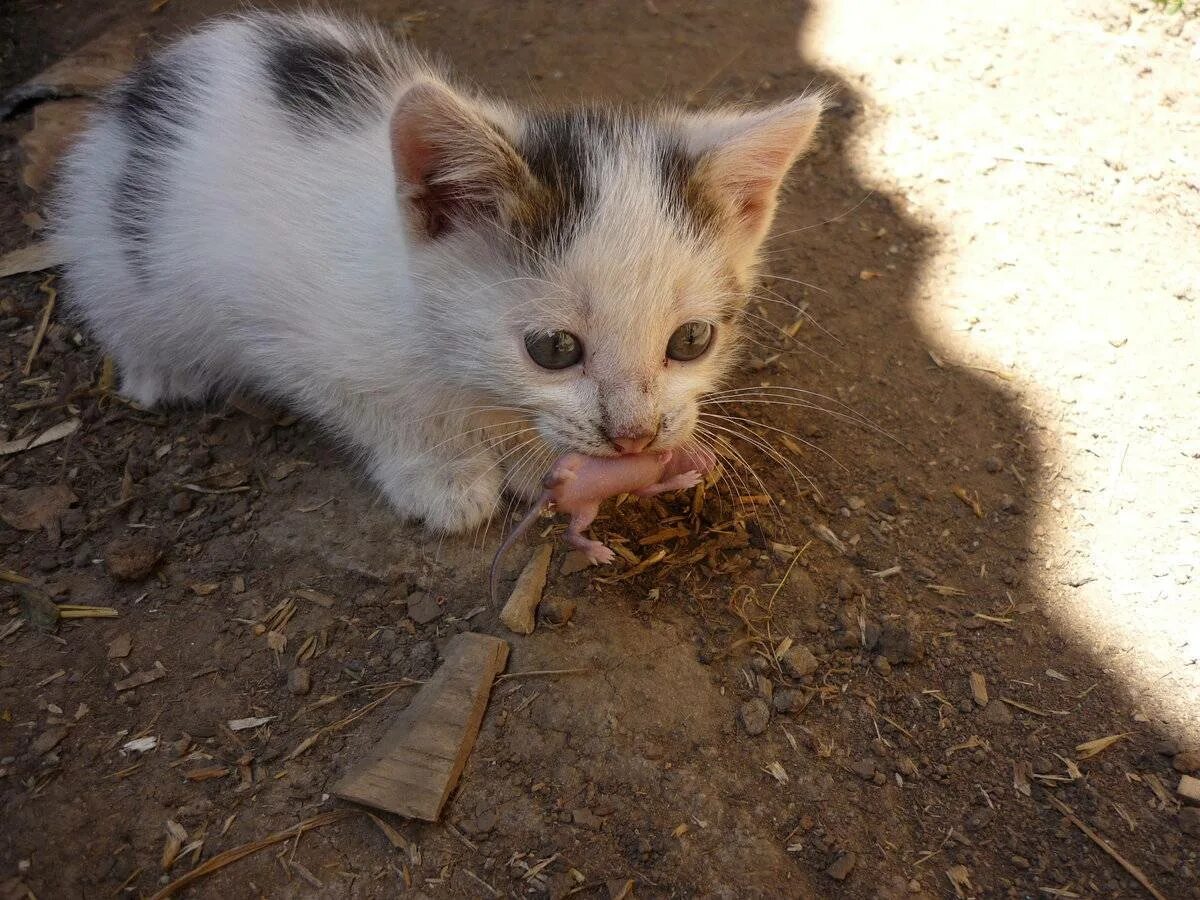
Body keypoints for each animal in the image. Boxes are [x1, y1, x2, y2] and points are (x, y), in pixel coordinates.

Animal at [56, 10, 825, 535]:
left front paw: (529, 459)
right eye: (553, 349)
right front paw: (444, 475)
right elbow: (378, 407)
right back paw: (160, 372)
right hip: (112, 249)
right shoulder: (281, 325)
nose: (633, 437)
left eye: (691, 341)